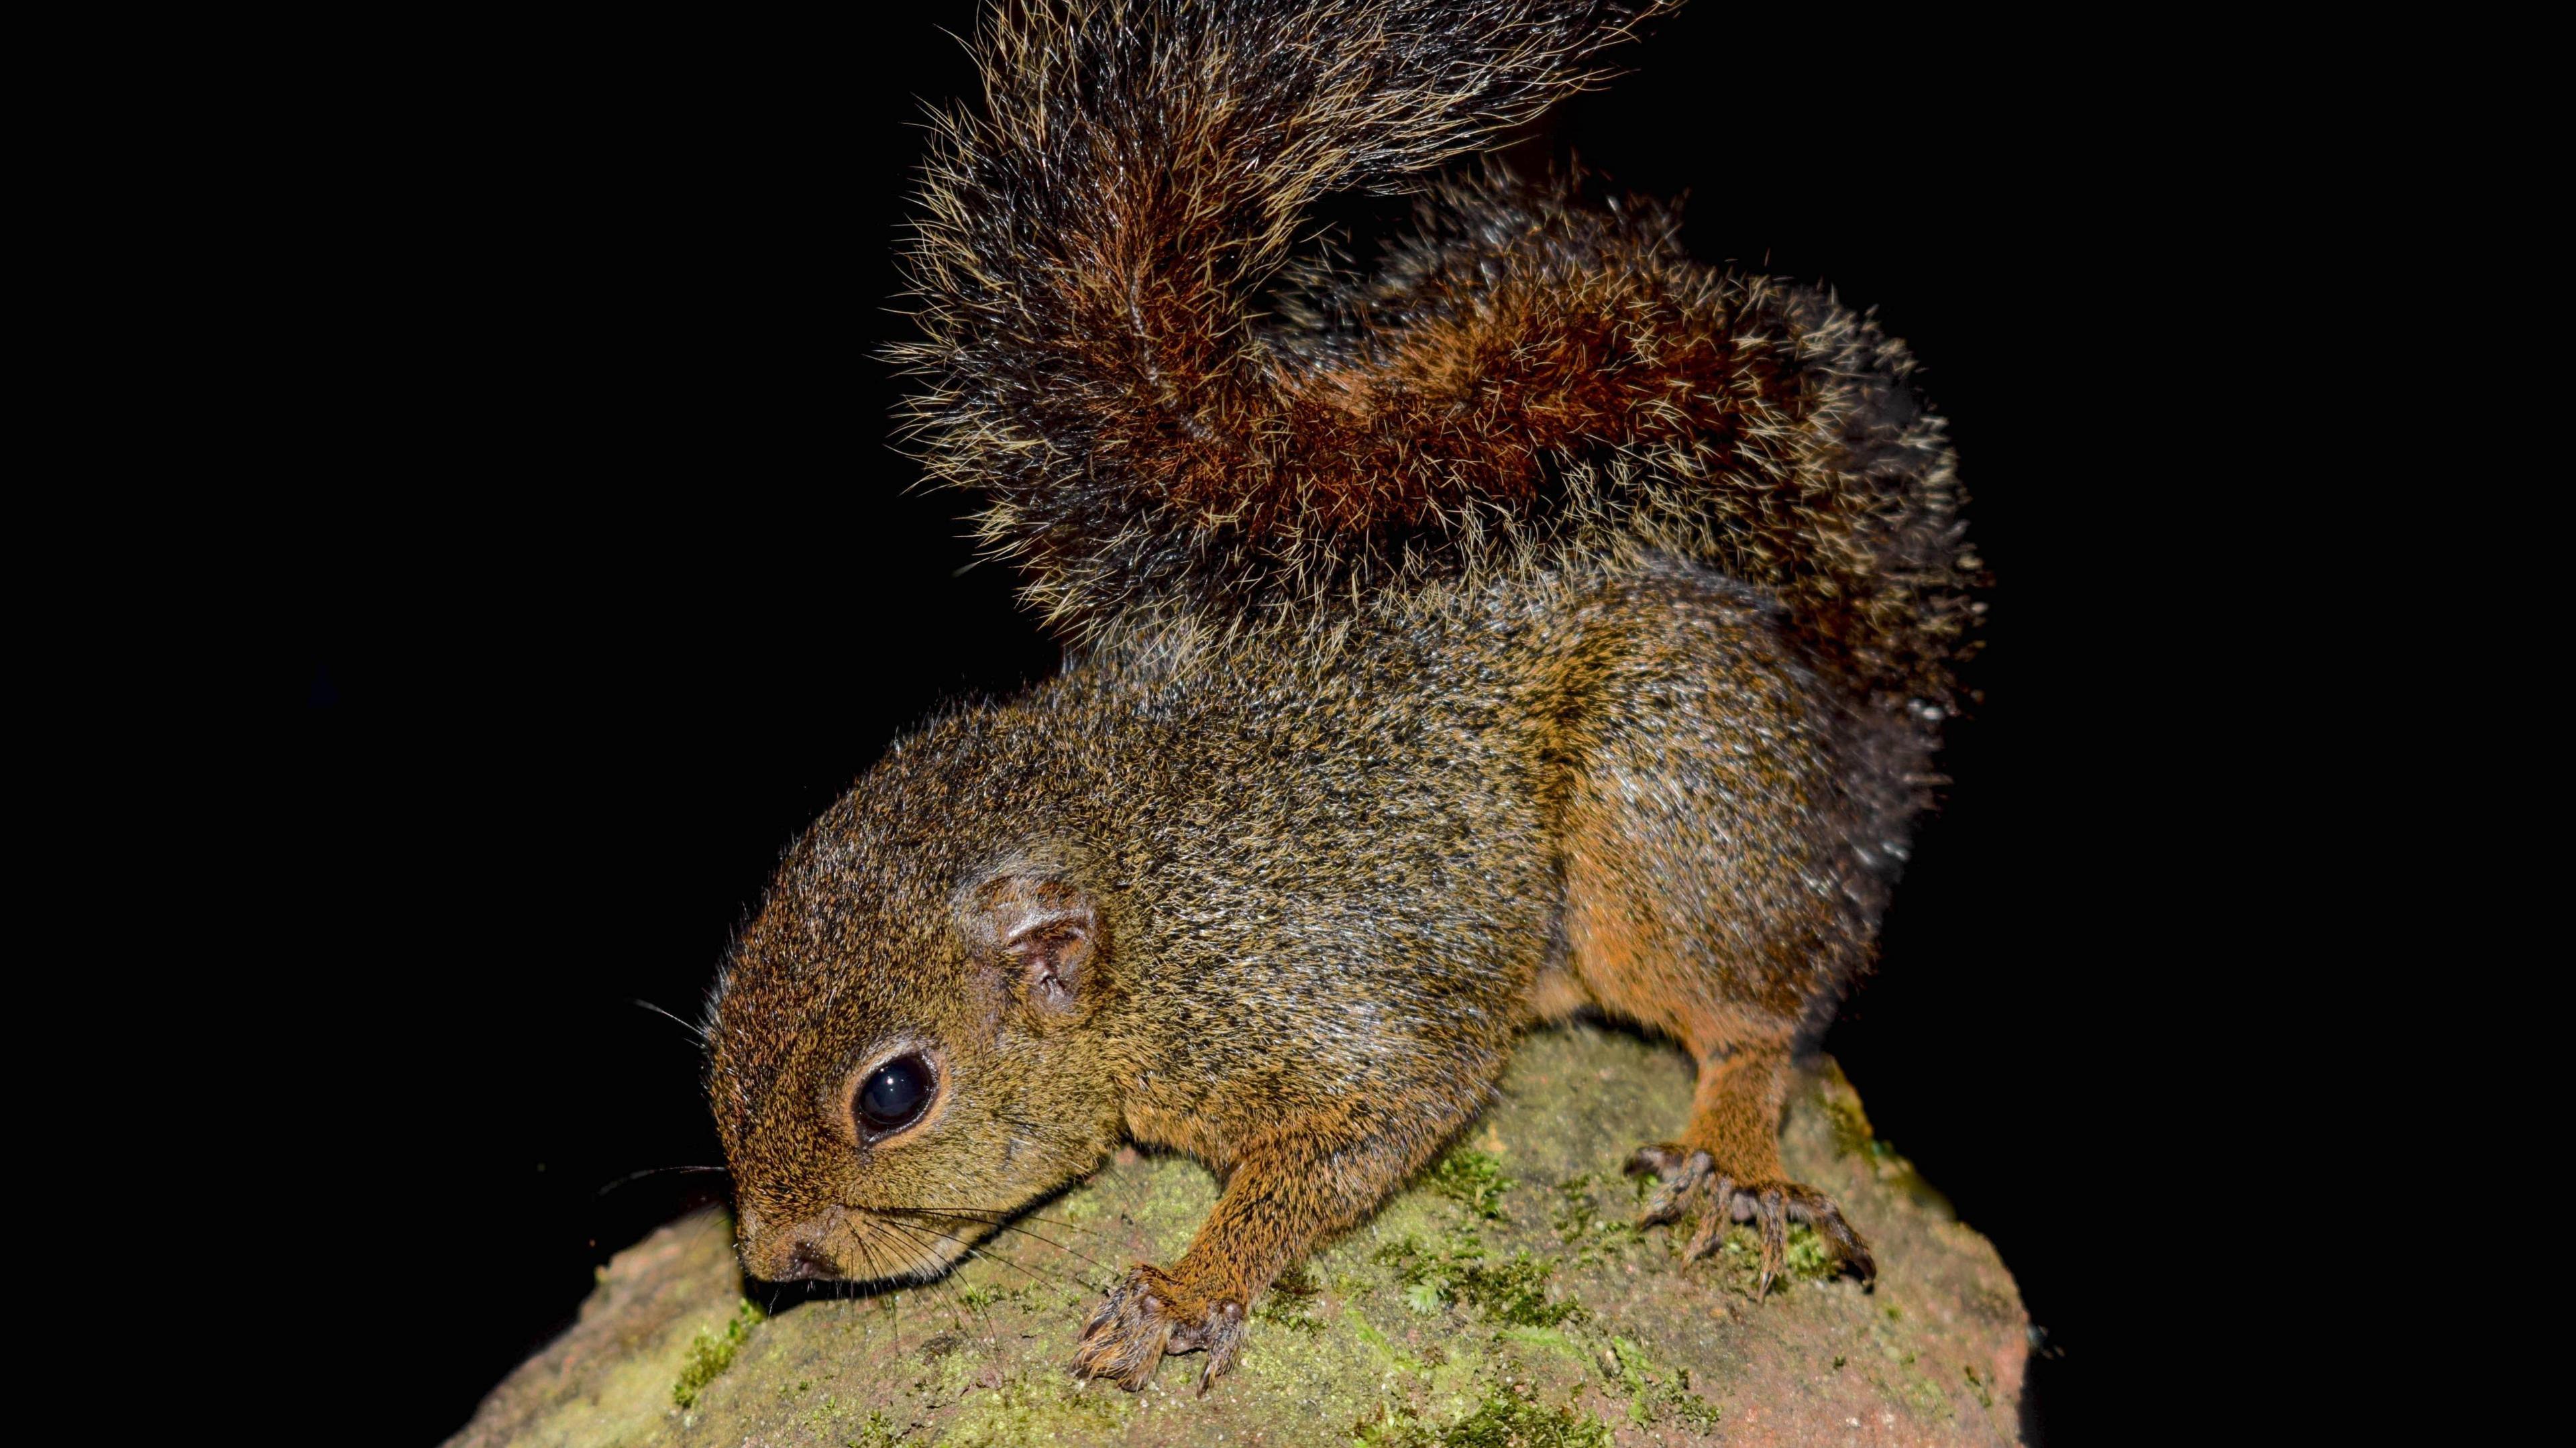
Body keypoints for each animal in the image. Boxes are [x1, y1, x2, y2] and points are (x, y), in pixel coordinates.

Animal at [706, 0, 1968, 1401]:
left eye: (893, 1094)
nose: (771, 1256)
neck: (1139, 915)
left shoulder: (1326, 1002)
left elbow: (1359, 1132)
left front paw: (1188, 1285)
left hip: (1671, 783)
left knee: (1756, 1011)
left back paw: (1738, 1159)